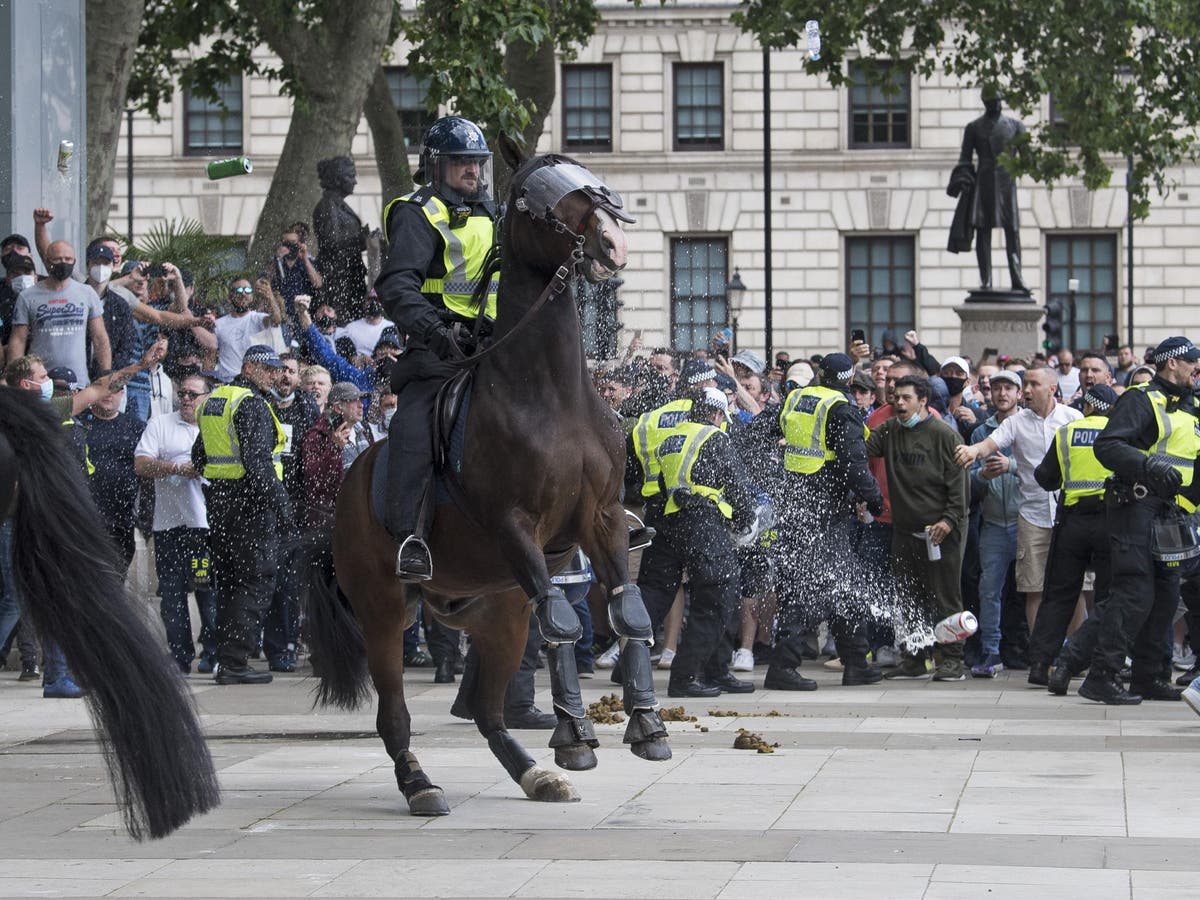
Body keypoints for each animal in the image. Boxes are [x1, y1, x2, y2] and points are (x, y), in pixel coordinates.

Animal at [304, 139, 672, 816]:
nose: (612, 244)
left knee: (486, 708)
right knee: (394, 716)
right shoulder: (514, 526)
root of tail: (344, 498)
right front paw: (577, 735)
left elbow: (628, 610)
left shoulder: (601, 519)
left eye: (592, 180)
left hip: (496, 610)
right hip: (385, 611)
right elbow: (563, 621)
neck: (549, 393)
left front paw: (645, 724)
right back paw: (421, 784)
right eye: (539, 198)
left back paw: (534, 775)